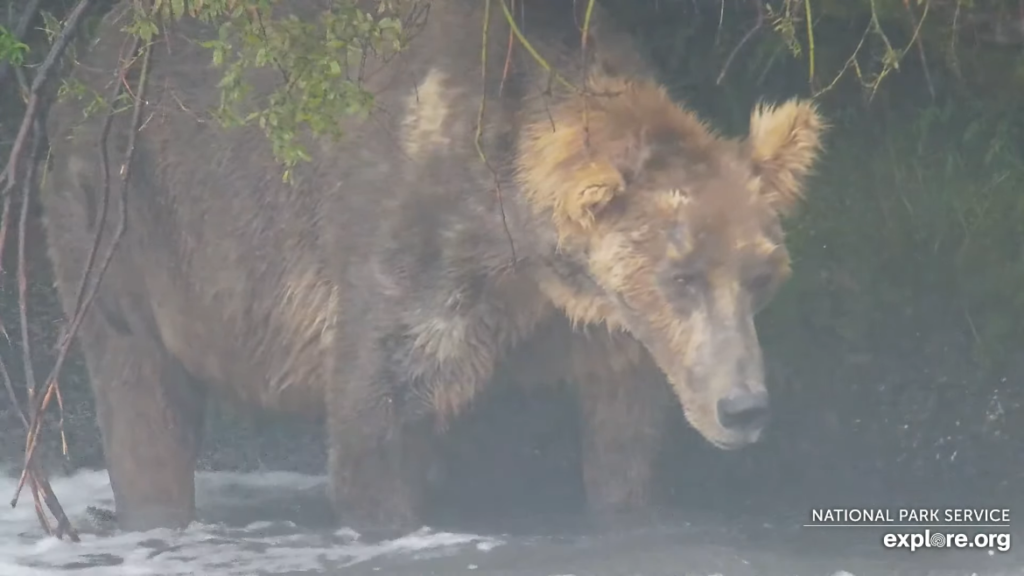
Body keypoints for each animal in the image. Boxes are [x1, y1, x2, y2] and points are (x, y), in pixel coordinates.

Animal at [37, 0, 823, 537]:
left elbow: (625, 436)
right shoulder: (410, 247)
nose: (743, 406)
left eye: (761, 275)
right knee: (142, 397)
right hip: (122, 224)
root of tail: (86, 60)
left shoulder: (596, 329)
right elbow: (378, 419)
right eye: (681, 275)